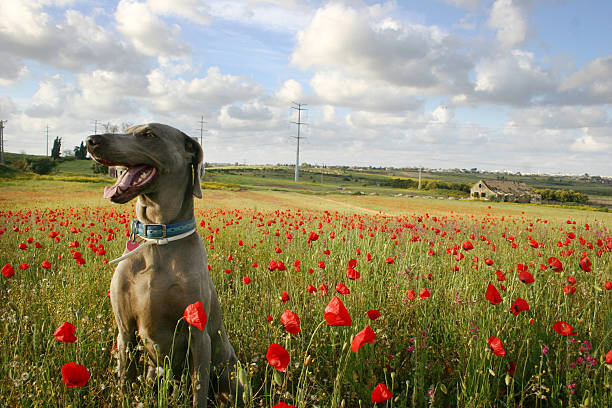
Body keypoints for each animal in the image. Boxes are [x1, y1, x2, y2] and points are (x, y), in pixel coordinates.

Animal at [88, 122, 241, 406]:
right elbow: (125, 378)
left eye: (149, 134)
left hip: (230, 371)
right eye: (127, 129)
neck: (158, 237)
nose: (92, 140)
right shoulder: (124, 331)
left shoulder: (198, 336)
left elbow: (199, 390)